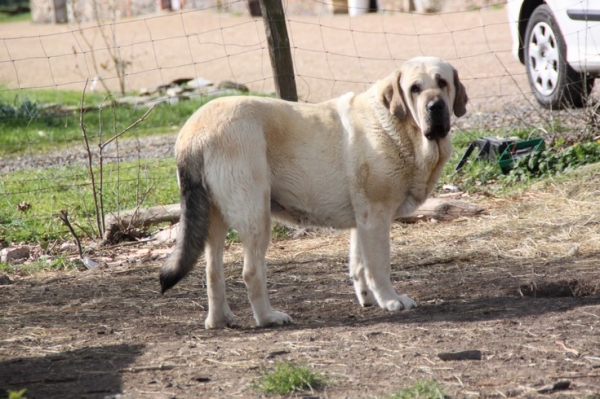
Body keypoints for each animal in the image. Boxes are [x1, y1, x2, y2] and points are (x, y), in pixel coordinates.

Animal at [161, 57, 468, 332]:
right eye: (415, 88)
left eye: (442, 83)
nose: (436, 106)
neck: (398, 128)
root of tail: (194, 132)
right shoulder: (376, 217)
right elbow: (378, 266)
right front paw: (391, 301)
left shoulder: (363, 221)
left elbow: (359, 265)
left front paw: (368, 299)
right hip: (256, 216)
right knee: (251, 272)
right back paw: (268, 318)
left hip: (214, 219)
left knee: (212, 271)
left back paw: (218, 320)